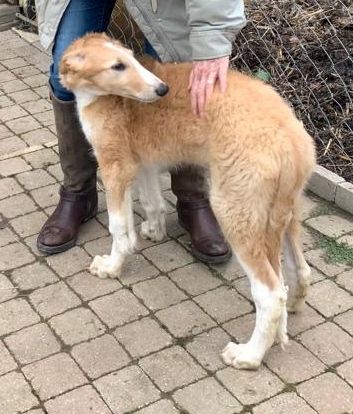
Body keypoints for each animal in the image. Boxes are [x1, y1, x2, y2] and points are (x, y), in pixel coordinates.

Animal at [60, 32, 316, 368]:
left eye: (128, 61)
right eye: (117, 65)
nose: (162, 90)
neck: (102, 95)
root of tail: (290, 136)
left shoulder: (115, 167)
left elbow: (118, 228)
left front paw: (113, 266)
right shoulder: (142, 163)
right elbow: (153, 203)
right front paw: (153, 232)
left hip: (236, 213)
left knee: (271, 295)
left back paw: (249, 355)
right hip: (283, 213)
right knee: (300, 270)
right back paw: (295, 306)